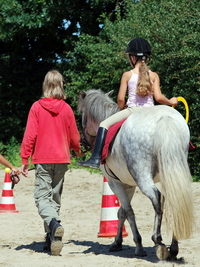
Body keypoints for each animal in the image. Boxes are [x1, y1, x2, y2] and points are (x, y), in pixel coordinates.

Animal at [78, 89, 194, 260]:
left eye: (82, 115)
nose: (82, 142)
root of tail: (165, 118)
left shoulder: (114, 182)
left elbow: (127, 211)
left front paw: (138, 246)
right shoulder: (128, 184)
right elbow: (121, 212)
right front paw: (117, 242)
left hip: (143, 177)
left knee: (156, 197)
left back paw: (158, 239)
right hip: (172, 172)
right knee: (176, 199)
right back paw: (174, 247)